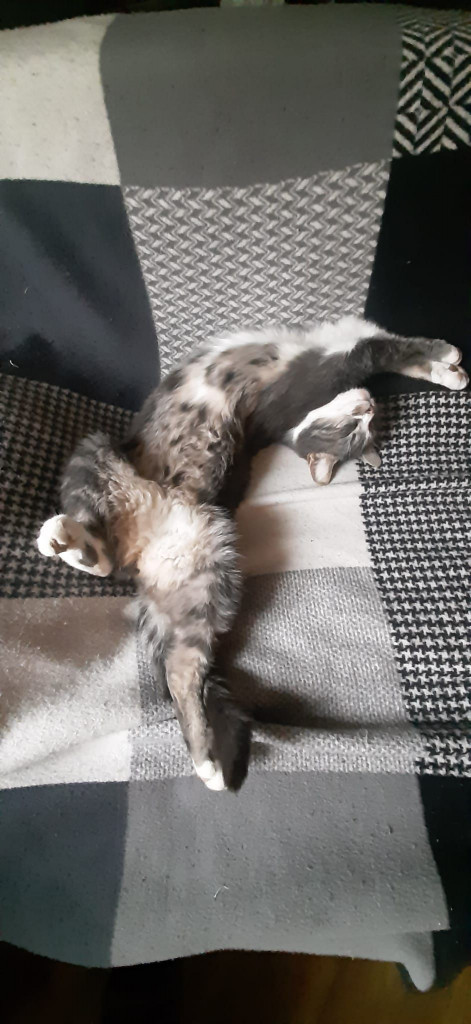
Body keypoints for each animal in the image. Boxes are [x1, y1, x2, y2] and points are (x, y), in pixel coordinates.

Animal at [37, 317, 468, 791]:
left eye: (363, 429)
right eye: (349, 429)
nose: (370, 406)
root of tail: (143, 554)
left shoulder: (339, 355)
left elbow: (389, 349)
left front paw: (444, 364)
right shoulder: (330, 361)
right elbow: (390, 351)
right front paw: (448, 362)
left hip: (204, 578)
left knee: (181, 666)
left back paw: (206, 763)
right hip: (96, 450)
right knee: (107, 554)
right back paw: (71, 546)